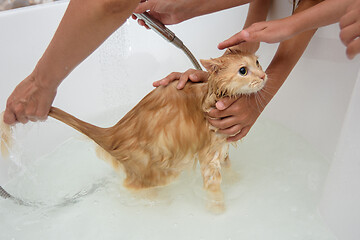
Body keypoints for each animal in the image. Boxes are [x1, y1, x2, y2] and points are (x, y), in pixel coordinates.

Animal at [0, 49, 268, 211]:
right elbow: (214, 190)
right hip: (156, 172)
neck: (214, 95)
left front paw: (237, 181)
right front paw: (219, 211)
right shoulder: (209, 155)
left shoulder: (222, 148)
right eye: (243, 71)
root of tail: (113, 131)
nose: (265, 76)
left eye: (257, 62)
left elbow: (230, 169)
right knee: (138, 189)